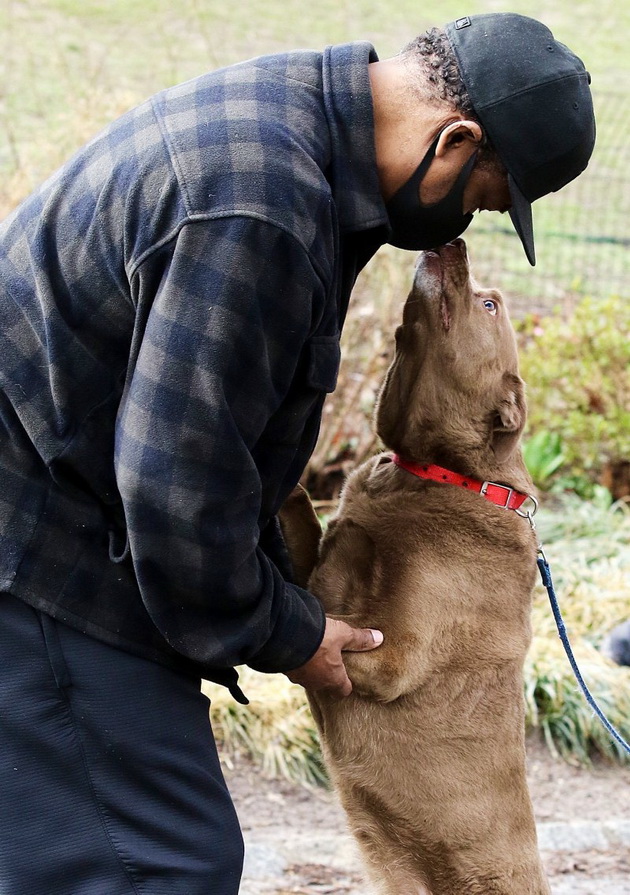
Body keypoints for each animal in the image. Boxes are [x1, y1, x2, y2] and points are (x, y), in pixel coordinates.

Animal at [282, 240, 552, 895]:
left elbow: (331, 605)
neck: (438, 473)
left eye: (488, 303)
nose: (454, 243)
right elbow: (314, 541)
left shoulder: (392, 657)